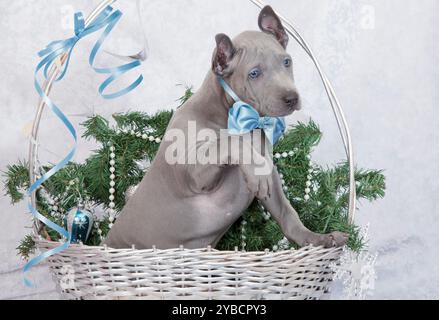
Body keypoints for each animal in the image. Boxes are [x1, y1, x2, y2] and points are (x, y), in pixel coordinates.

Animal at [105, 5, 348, 250]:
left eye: (287, 61)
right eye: (254, 73)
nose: (291, 98)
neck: (242, 120)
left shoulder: (271, 174)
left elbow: (288, 213)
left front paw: (316, 239)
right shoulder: (192, 173)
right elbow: (230, 142)